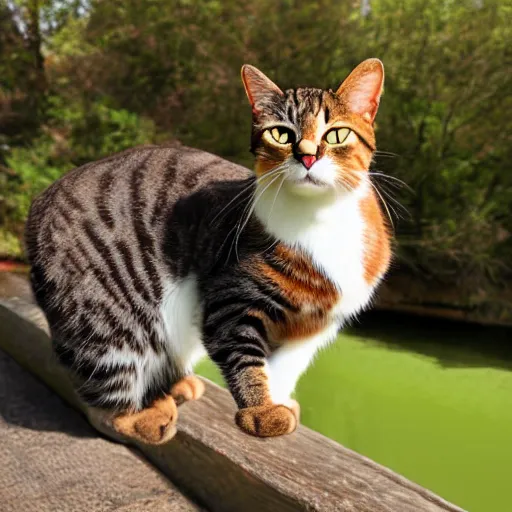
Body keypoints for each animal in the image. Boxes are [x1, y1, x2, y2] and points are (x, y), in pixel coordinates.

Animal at [26, 59, 390, 444]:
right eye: (281, 134)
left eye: (336, 134)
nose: (306, 156)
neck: (319, 219)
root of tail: (39, 202)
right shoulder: (230, 300)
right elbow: (245, 360)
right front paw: (261, 411)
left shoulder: (315, 327)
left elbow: (285, 368)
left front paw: (278, 401)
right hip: (109, 320)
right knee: (105, 400)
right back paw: (146, 415)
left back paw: (178, 386)